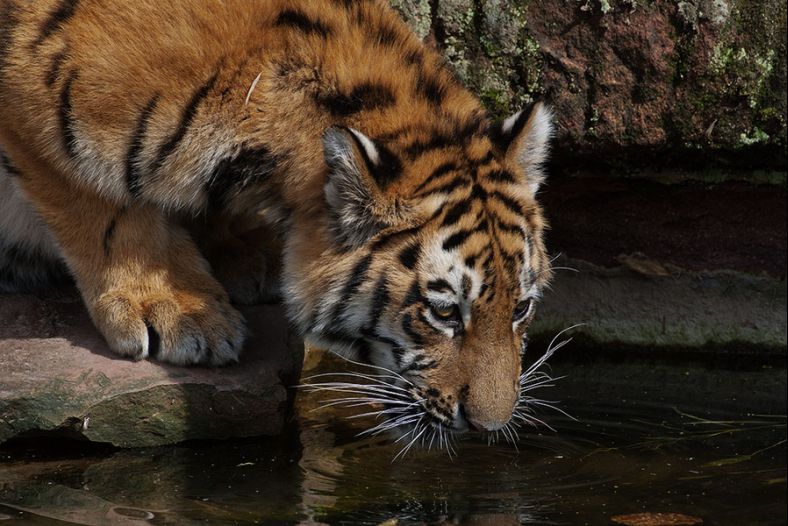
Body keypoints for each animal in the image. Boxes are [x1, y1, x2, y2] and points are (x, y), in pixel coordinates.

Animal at [0, 0, 553, 435]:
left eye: (522, 308)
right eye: (443, 313)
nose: (491, 426)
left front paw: (243, 255)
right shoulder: (34, 105)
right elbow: (104, 206)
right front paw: (173, 309)